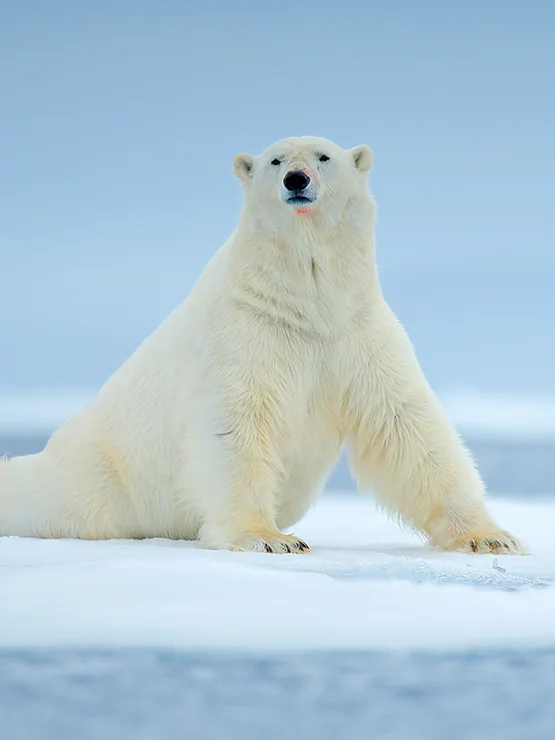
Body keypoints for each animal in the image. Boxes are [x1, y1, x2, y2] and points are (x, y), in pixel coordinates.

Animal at [0, 136, 526, 555]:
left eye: (324, 156)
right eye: (275, 160)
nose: (297, 178)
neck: (305, 304)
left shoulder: (357, 331)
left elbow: (406, 424)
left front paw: (490, 537)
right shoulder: (247, 330)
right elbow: (238, 424)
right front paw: (271, 538)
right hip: (101, 475)